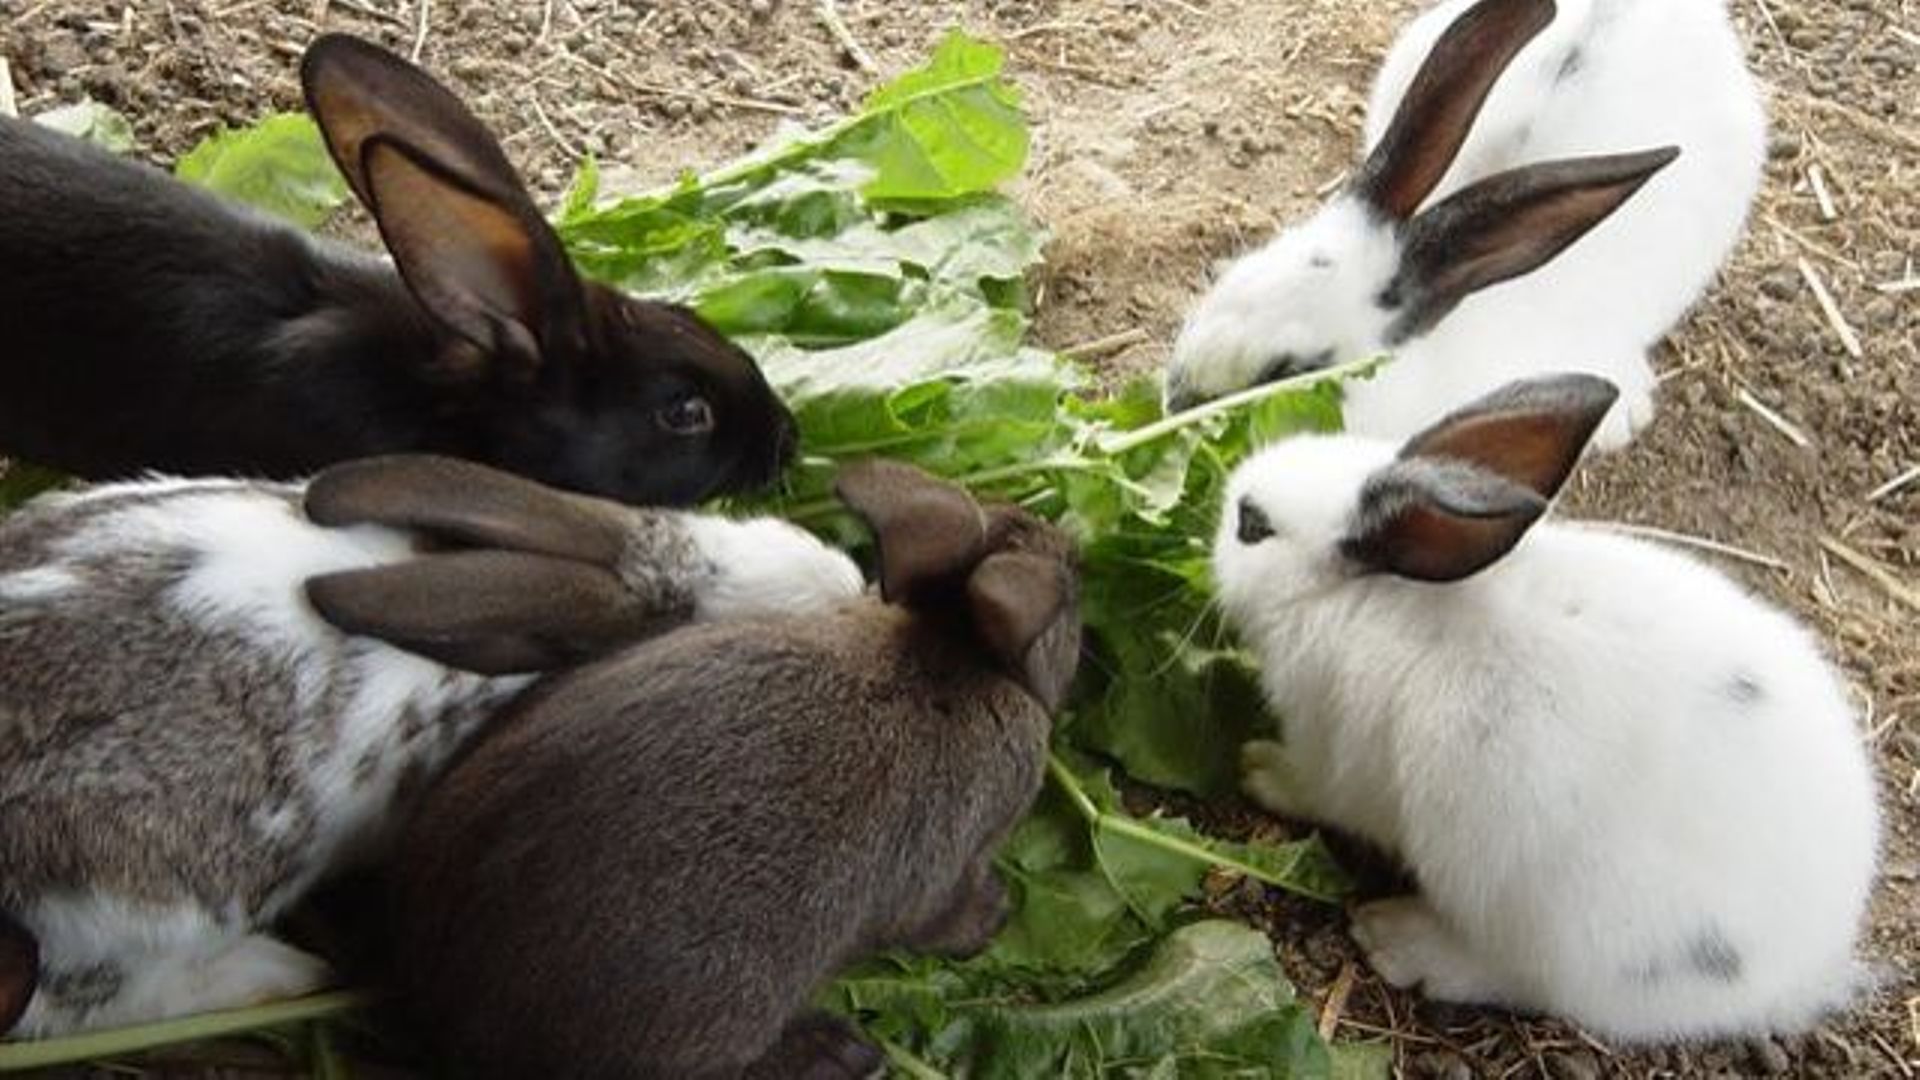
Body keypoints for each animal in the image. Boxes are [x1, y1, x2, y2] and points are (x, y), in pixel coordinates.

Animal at [1213, 374, 1873, 1037]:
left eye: (1253, 524)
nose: (1225, 502)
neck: (1366, 594)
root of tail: (1798, 965)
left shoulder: (1332, 761)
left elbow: (1313, 790)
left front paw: (1256, 767)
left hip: (1544, 918)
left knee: (1524, 981)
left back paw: (1395, 938)